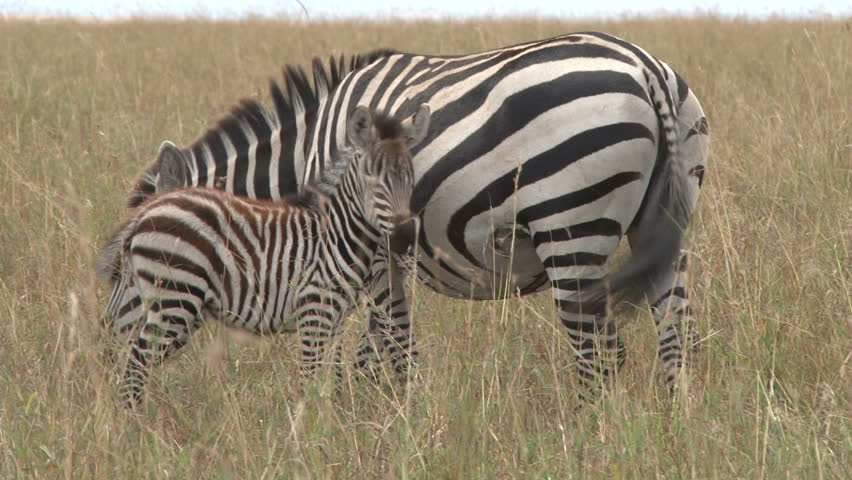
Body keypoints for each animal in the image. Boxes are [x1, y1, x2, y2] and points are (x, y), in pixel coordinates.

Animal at [98, 105, 432, 404]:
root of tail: (148, 211)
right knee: (135, 369)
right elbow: (310, 380)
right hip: (174, 297)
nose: (405, 236)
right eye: (372, 179)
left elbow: (332, 378)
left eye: (411, 178)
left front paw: (332, 421)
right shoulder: (314, 311)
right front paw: (307, 427)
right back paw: (134, 425)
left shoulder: (334, 319)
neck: (338, 234)